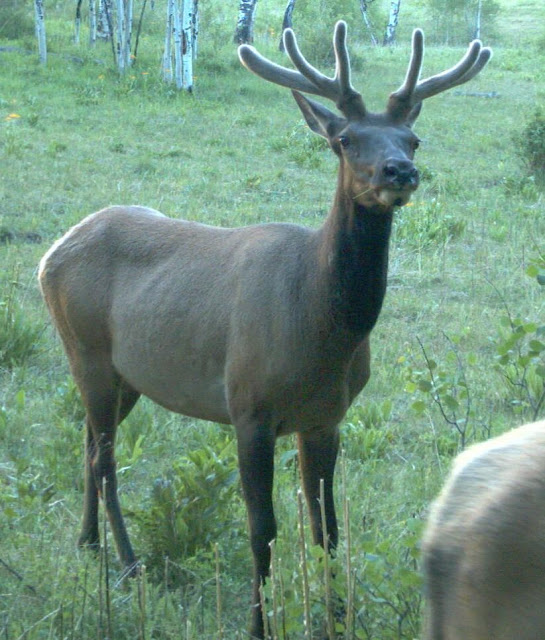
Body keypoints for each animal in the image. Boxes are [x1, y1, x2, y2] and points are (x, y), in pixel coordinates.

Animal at [38, 22, 491, 639]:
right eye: (346, 139)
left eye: (412, 139)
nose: (400, 171)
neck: (321, 332)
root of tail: (51, 253)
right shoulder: (248, 405)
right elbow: (264, 529)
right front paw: (260, 624)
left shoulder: (326, 416)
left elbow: (327, 528)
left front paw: (339, 619)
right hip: (86, 348)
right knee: (105, 461)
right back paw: (128, 565)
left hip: (124, 374)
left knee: (87, 444)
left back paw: (87, 545)